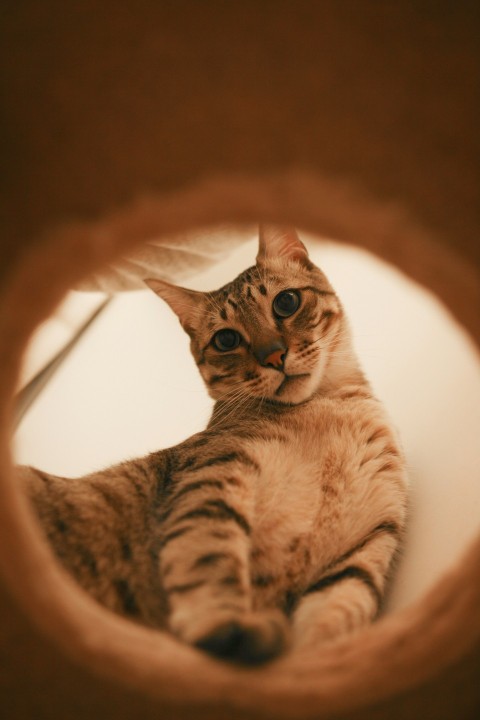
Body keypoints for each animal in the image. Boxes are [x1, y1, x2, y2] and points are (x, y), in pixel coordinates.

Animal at [20, 226, 406, 664]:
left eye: (286, 302)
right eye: (225, 339)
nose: (274, 356)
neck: (326, 410)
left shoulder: (367, 544)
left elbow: (336, 616)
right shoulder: (211, 479)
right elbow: (208, 559)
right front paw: (231, 629)